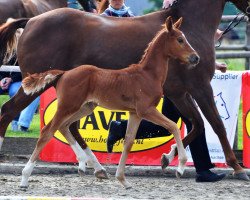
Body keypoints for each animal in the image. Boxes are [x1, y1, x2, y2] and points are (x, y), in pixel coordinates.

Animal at [21, 16, 199, 188]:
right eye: (180, 39)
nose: (195, 58)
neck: (147, 75)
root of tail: (63, 74)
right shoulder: (146, 110)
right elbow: (173, 126)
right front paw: (180, 167)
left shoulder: (135, 113)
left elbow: (128, 142)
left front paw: (122, 180)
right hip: (67, 106)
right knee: (47, 131)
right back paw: (25, 178)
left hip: (85, 107)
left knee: (64, 126)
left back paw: (86, 163)